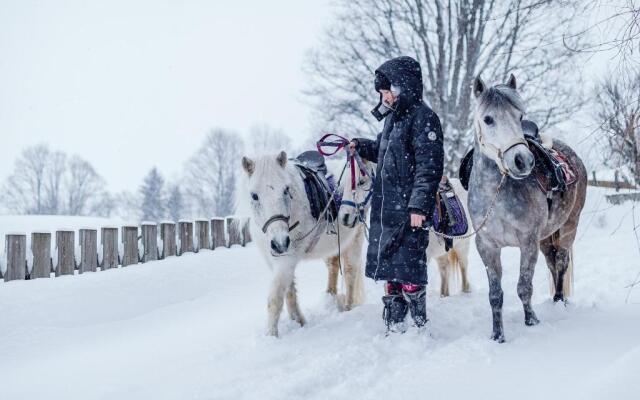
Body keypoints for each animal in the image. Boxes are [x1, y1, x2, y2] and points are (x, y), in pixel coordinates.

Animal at [241, 152, 376, 336]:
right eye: (254, 195)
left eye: (286, 190)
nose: (280, 243)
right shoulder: (274, 259)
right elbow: (289, 291)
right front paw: (298, 321)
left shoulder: (287, 259)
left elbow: (275, 297)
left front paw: (272, 335)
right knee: (333, 267)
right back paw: (330, 297)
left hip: (355, 239)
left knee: (350, 272)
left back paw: (348, 308)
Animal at [468, 76, 588, 344]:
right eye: (488, 119)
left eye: (519, 116)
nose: (522, 161)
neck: (497, 194)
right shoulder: (487, 246)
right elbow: (495, 294)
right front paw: (497, 335)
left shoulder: (528, 241)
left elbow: (524, 286)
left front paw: (531, 321)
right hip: (546, 237)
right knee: (552, 262)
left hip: (569, 226)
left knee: (561, 262)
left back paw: (559, 301)